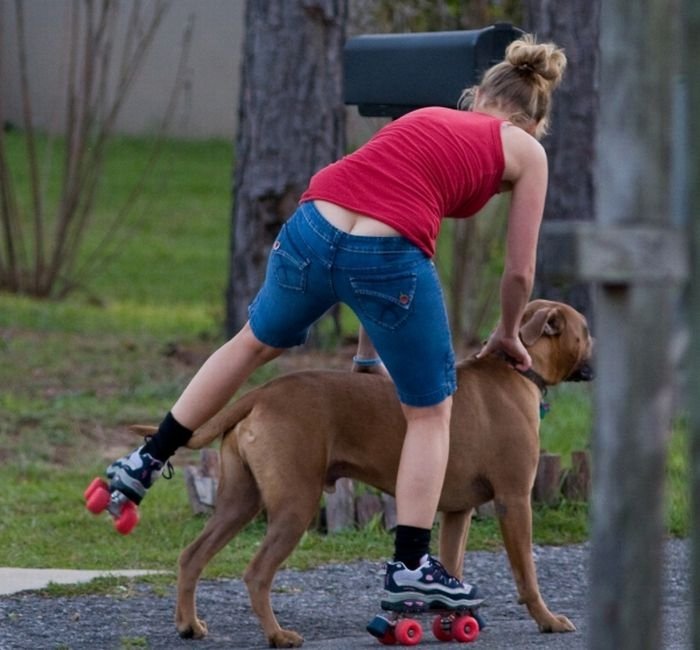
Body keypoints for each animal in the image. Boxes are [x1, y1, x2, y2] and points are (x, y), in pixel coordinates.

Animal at [168, 298, 592, 644]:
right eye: (585, 330)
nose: (597, 343)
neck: (515, 371)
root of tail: (262, 392)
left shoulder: (458, 512)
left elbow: (452, 561)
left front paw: (454, 616)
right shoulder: (515, 500)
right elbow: (527, 574)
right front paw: (547, 619)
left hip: (238, 502)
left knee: (192, 555)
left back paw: (189, 624)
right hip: (294, 505)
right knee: (256, 573)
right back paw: (277, 634)